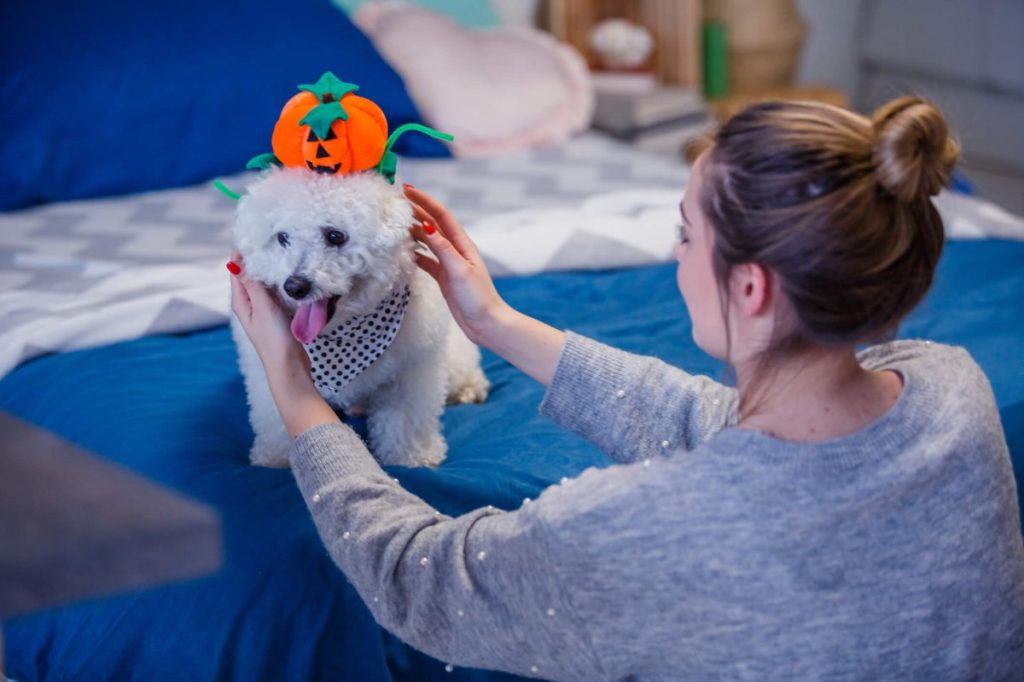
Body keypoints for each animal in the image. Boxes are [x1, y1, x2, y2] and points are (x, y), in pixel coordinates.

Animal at [232, 168, 487, 466]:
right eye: (282, 238)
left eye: (335, 236)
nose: (294, 286)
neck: (342, 333)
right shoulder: (264, 373)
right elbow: (273, 417)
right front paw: (276, 459)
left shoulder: (410, 371)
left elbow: (405, 419)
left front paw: (411, 457)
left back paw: (469, 388)